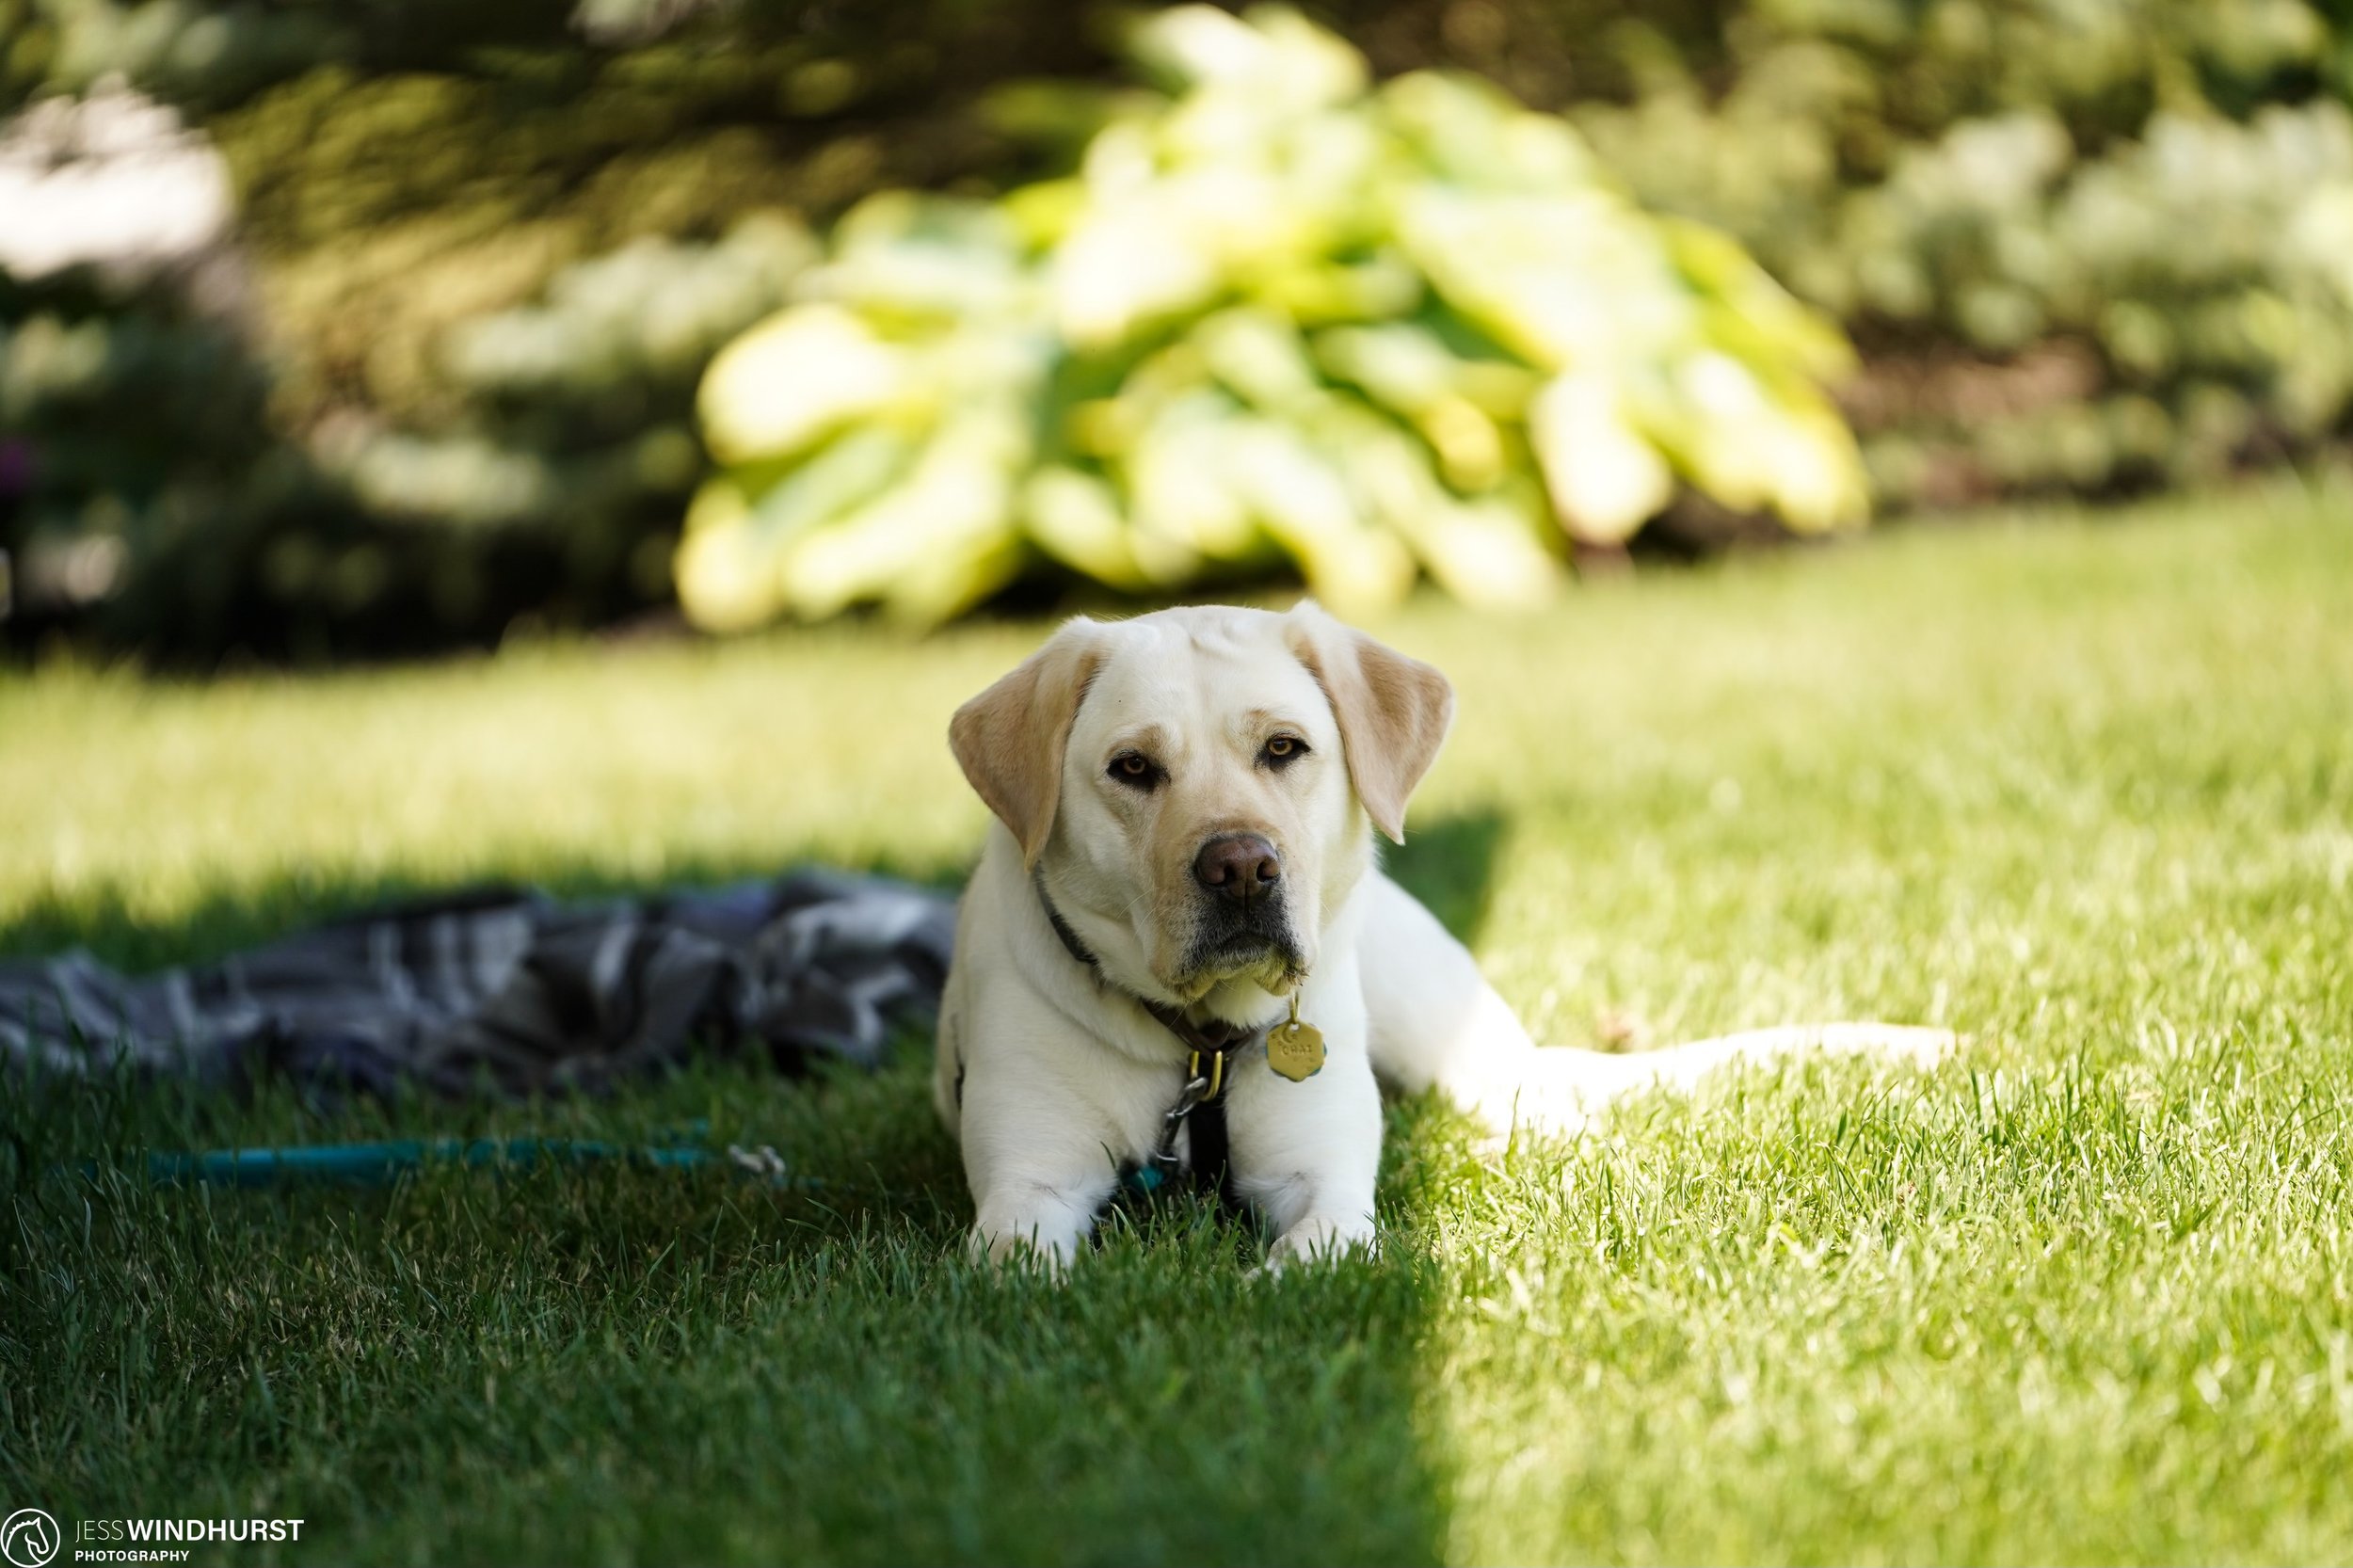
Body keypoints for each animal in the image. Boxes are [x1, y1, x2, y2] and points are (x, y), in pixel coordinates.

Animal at [935, 601, 1950, 1267]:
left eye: (1284, 748)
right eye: (1133, 767)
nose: (1241, 867)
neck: (1200, 1043)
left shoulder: (1324, 1179)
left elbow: (1314, 1253)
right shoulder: (1028, 1187)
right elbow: (1020, 1261)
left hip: (1459, 1044)